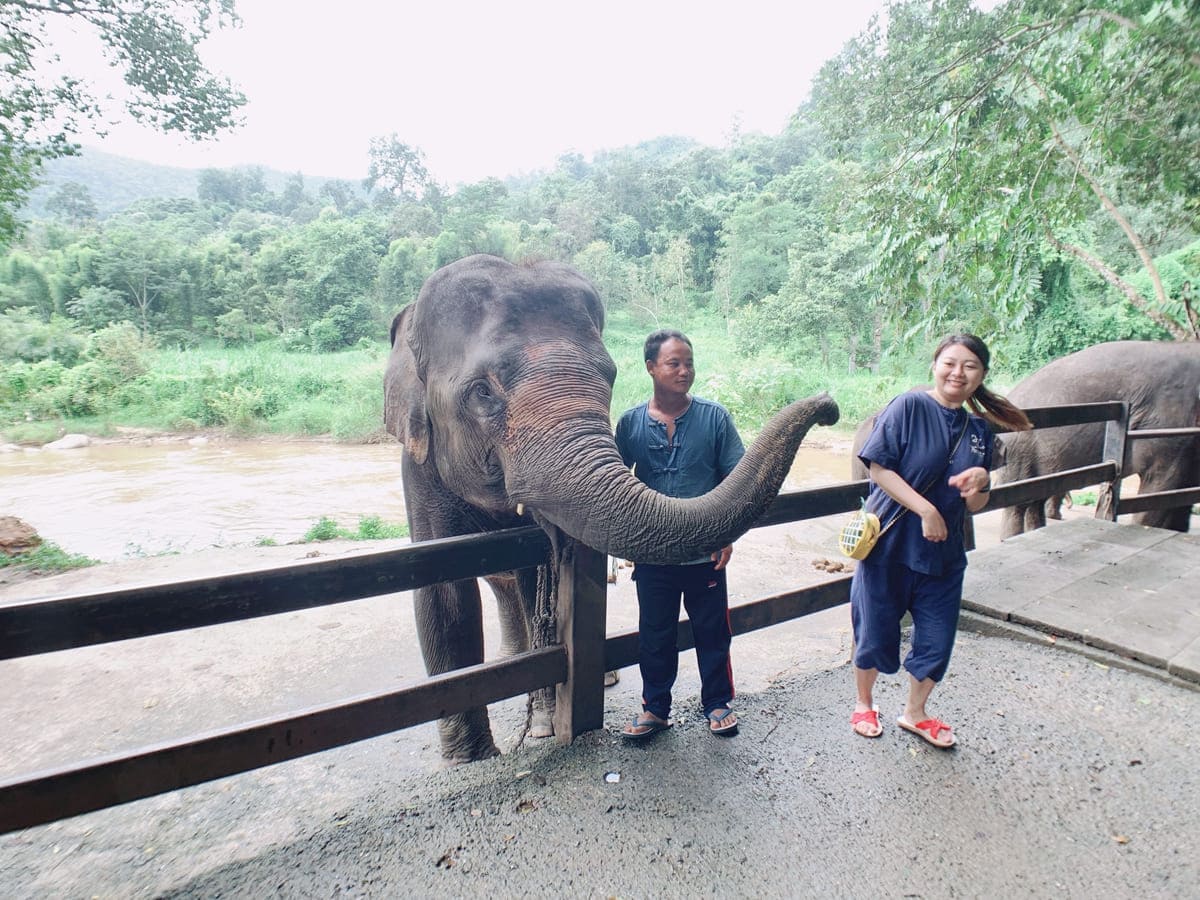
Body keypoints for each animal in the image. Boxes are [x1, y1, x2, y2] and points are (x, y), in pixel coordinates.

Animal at [384, 255, 835, 768]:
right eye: (482, 391)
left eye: (611, 376)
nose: (829, 405)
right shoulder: (418, 466)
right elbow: (442, 590)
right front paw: (470, 758)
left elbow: (533, 576)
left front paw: (541, 727)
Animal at [993, 340, 1200, 540]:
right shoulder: (1168, 429)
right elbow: (1161, 489)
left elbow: (1183, 492)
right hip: (1019, 451)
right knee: (1017, 504)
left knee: (1036, 499)